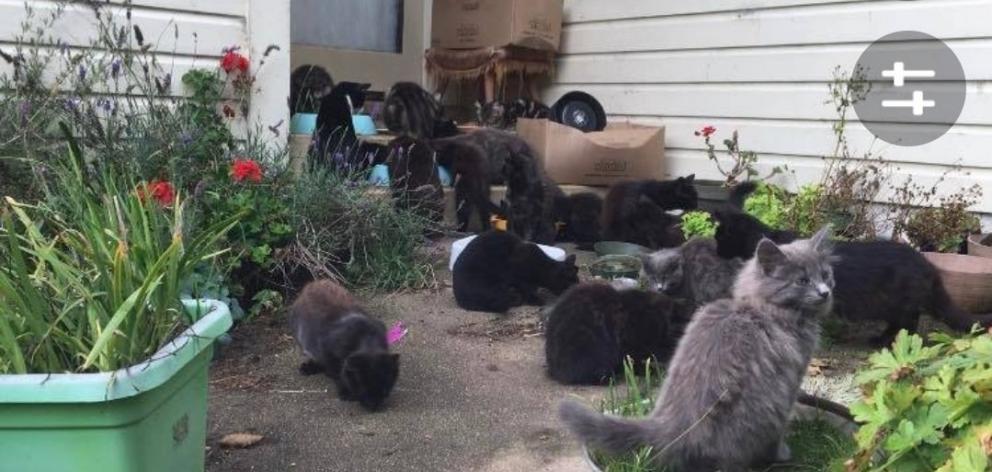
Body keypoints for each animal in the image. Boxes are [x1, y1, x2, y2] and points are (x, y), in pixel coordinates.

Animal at [286, 280, 400, 410]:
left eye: (384, 390)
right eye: (364, 390)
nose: (373, 405)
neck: (367, 339)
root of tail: (314, 283)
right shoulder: (327, 350)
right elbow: (337, 374)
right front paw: (345, 392)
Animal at [560, 227, 832, 470]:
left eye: (826, 275)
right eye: (803, 280)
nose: (825, 292)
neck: (759, 307)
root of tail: (671, 427)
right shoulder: (791, 382)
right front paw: (783, 453)